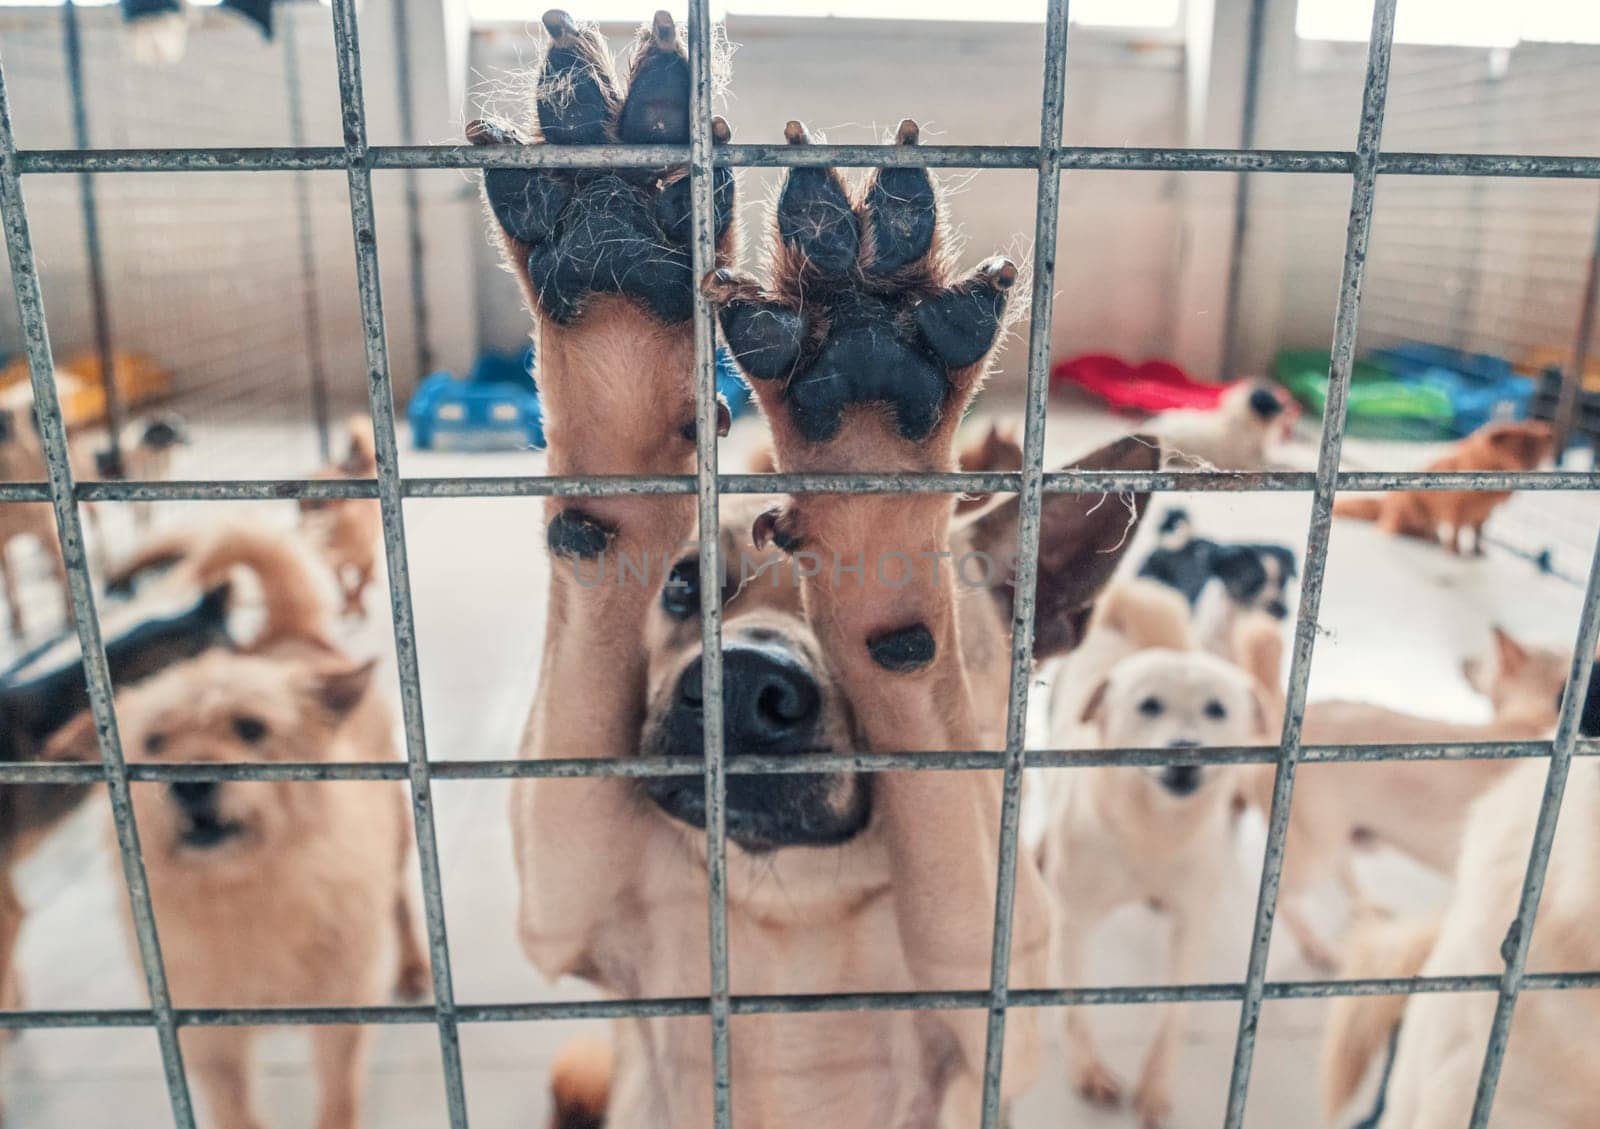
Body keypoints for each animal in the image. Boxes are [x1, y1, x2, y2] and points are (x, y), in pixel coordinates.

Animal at [473, 10, 1164, 1125]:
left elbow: (939, 789)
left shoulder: (991, 986)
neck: (790, 891)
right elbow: (593, 556)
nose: (745, 685)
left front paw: (872, 462)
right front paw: (613, 290)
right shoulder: (563, 881)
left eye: (962, 633)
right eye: (683, 588)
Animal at [1331, 418, 1555, 553]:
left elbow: (1478, 533)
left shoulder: (1484, 515)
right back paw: (1428, 538)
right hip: (1411, 512)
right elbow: (1456, 531)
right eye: (1516, 453)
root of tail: (1385, 504)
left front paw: (1478, 551)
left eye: (1535, 456)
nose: (1528, 469)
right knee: (1391, 527)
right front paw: (1455, 551)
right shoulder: (1455, 507)